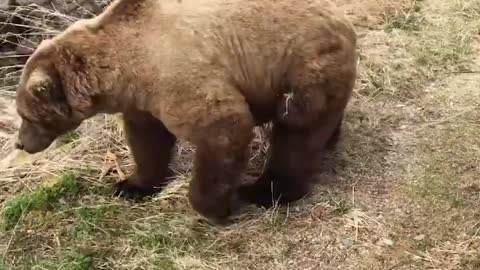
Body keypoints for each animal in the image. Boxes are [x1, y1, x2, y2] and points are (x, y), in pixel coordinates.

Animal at [14, 0, 356, 224]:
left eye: (25, 115)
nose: (20, 143)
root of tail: (344, 22)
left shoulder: (177, 77)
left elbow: (223, 127)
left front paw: (216, 209)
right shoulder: (143, 100)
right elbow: (147, 141)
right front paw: (131, 185)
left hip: (303, 68)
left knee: (296, 131)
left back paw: (264, 191)